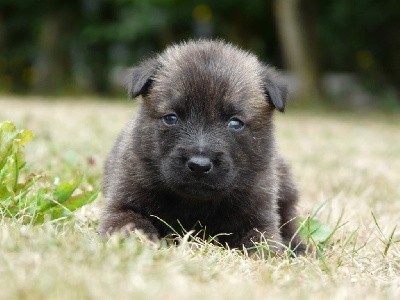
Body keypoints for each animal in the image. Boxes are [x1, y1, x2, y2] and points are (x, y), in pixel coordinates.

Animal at [99, 39, 304, 254]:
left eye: (235, 123)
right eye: (171, 118)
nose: (199, 165)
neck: (195, 203)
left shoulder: (259, 219)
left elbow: (262, 245)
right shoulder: (123, 206)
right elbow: (133, 227)